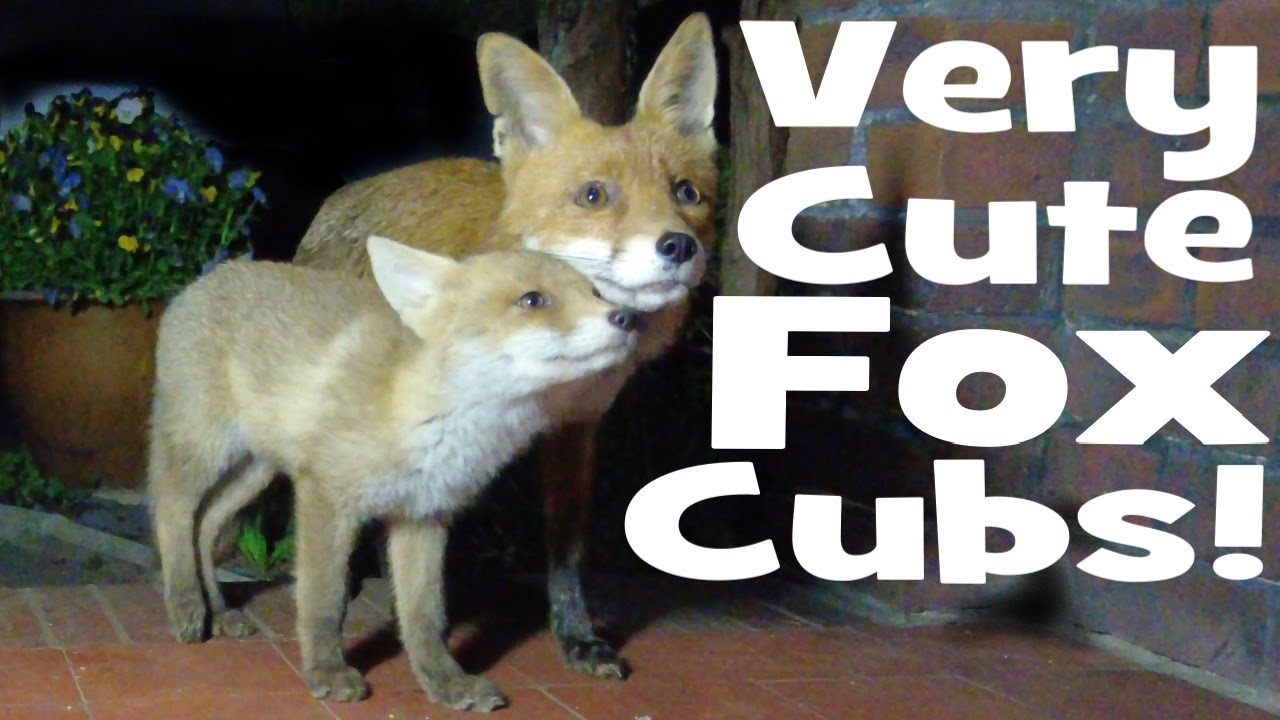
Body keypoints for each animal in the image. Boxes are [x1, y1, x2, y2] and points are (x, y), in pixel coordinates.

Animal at [147, 235, 638, 711]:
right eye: (533, 300)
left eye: (595, 293)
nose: (628, 317)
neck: (427, 419)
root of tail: (208, 278)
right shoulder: (325, 494)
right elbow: (324, 600)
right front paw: (326, 671)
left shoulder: (422, 516)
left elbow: (425, 617)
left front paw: (444, 682)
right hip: (204, 450)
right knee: (172, 514)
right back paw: (185, 604)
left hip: (257, 470)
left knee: (204, 526)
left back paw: (216, 610)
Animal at [291, 13, 719, 679]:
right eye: (594, 196)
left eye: (687, 193)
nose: (678, 246)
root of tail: (339, 196)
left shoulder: (576, 429)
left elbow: (566, 551)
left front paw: (575, 637)